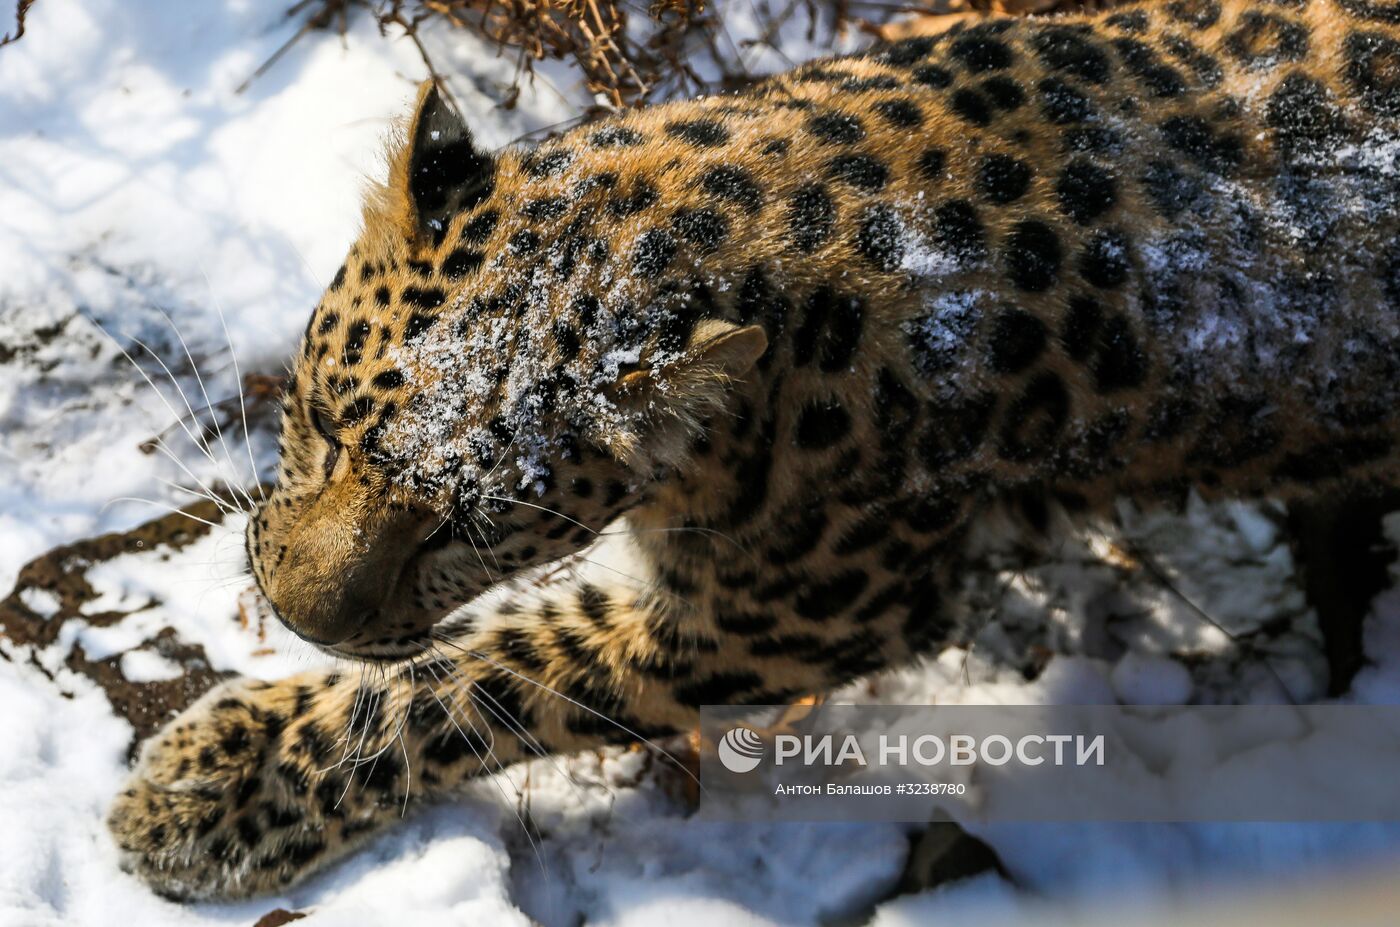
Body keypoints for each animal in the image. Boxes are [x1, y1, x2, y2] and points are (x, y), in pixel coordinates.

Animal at [106, 0, 1400, 901]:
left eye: (465, 531)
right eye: (325, 425)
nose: (296, 614)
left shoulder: (780, 624)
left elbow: (484, 677)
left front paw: (211, 793)